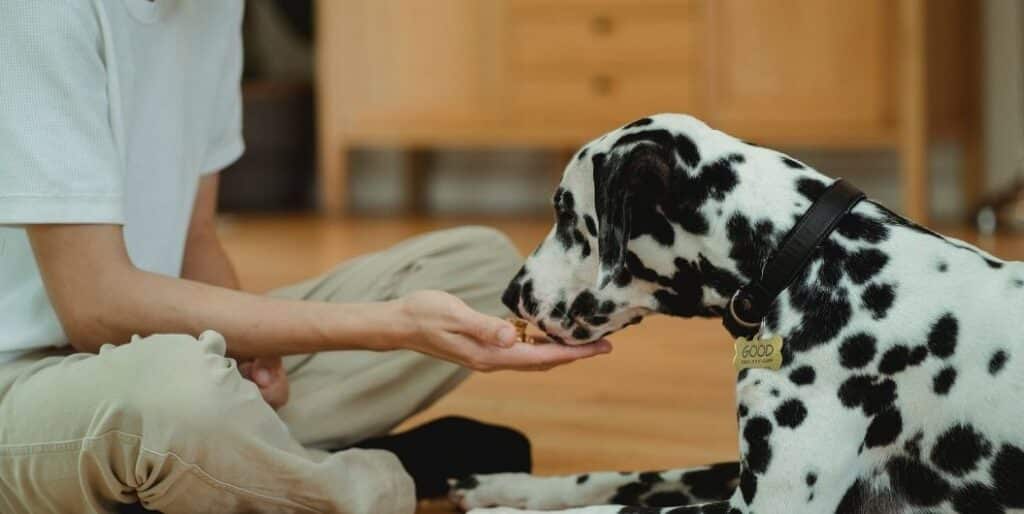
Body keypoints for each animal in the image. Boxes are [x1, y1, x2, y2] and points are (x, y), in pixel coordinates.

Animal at [448, 114, 1024, 511]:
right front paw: (508, 486)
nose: (511, 293)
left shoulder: (764, 505)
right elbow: (631, 477)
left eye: (567, 212)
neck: (808, 260)